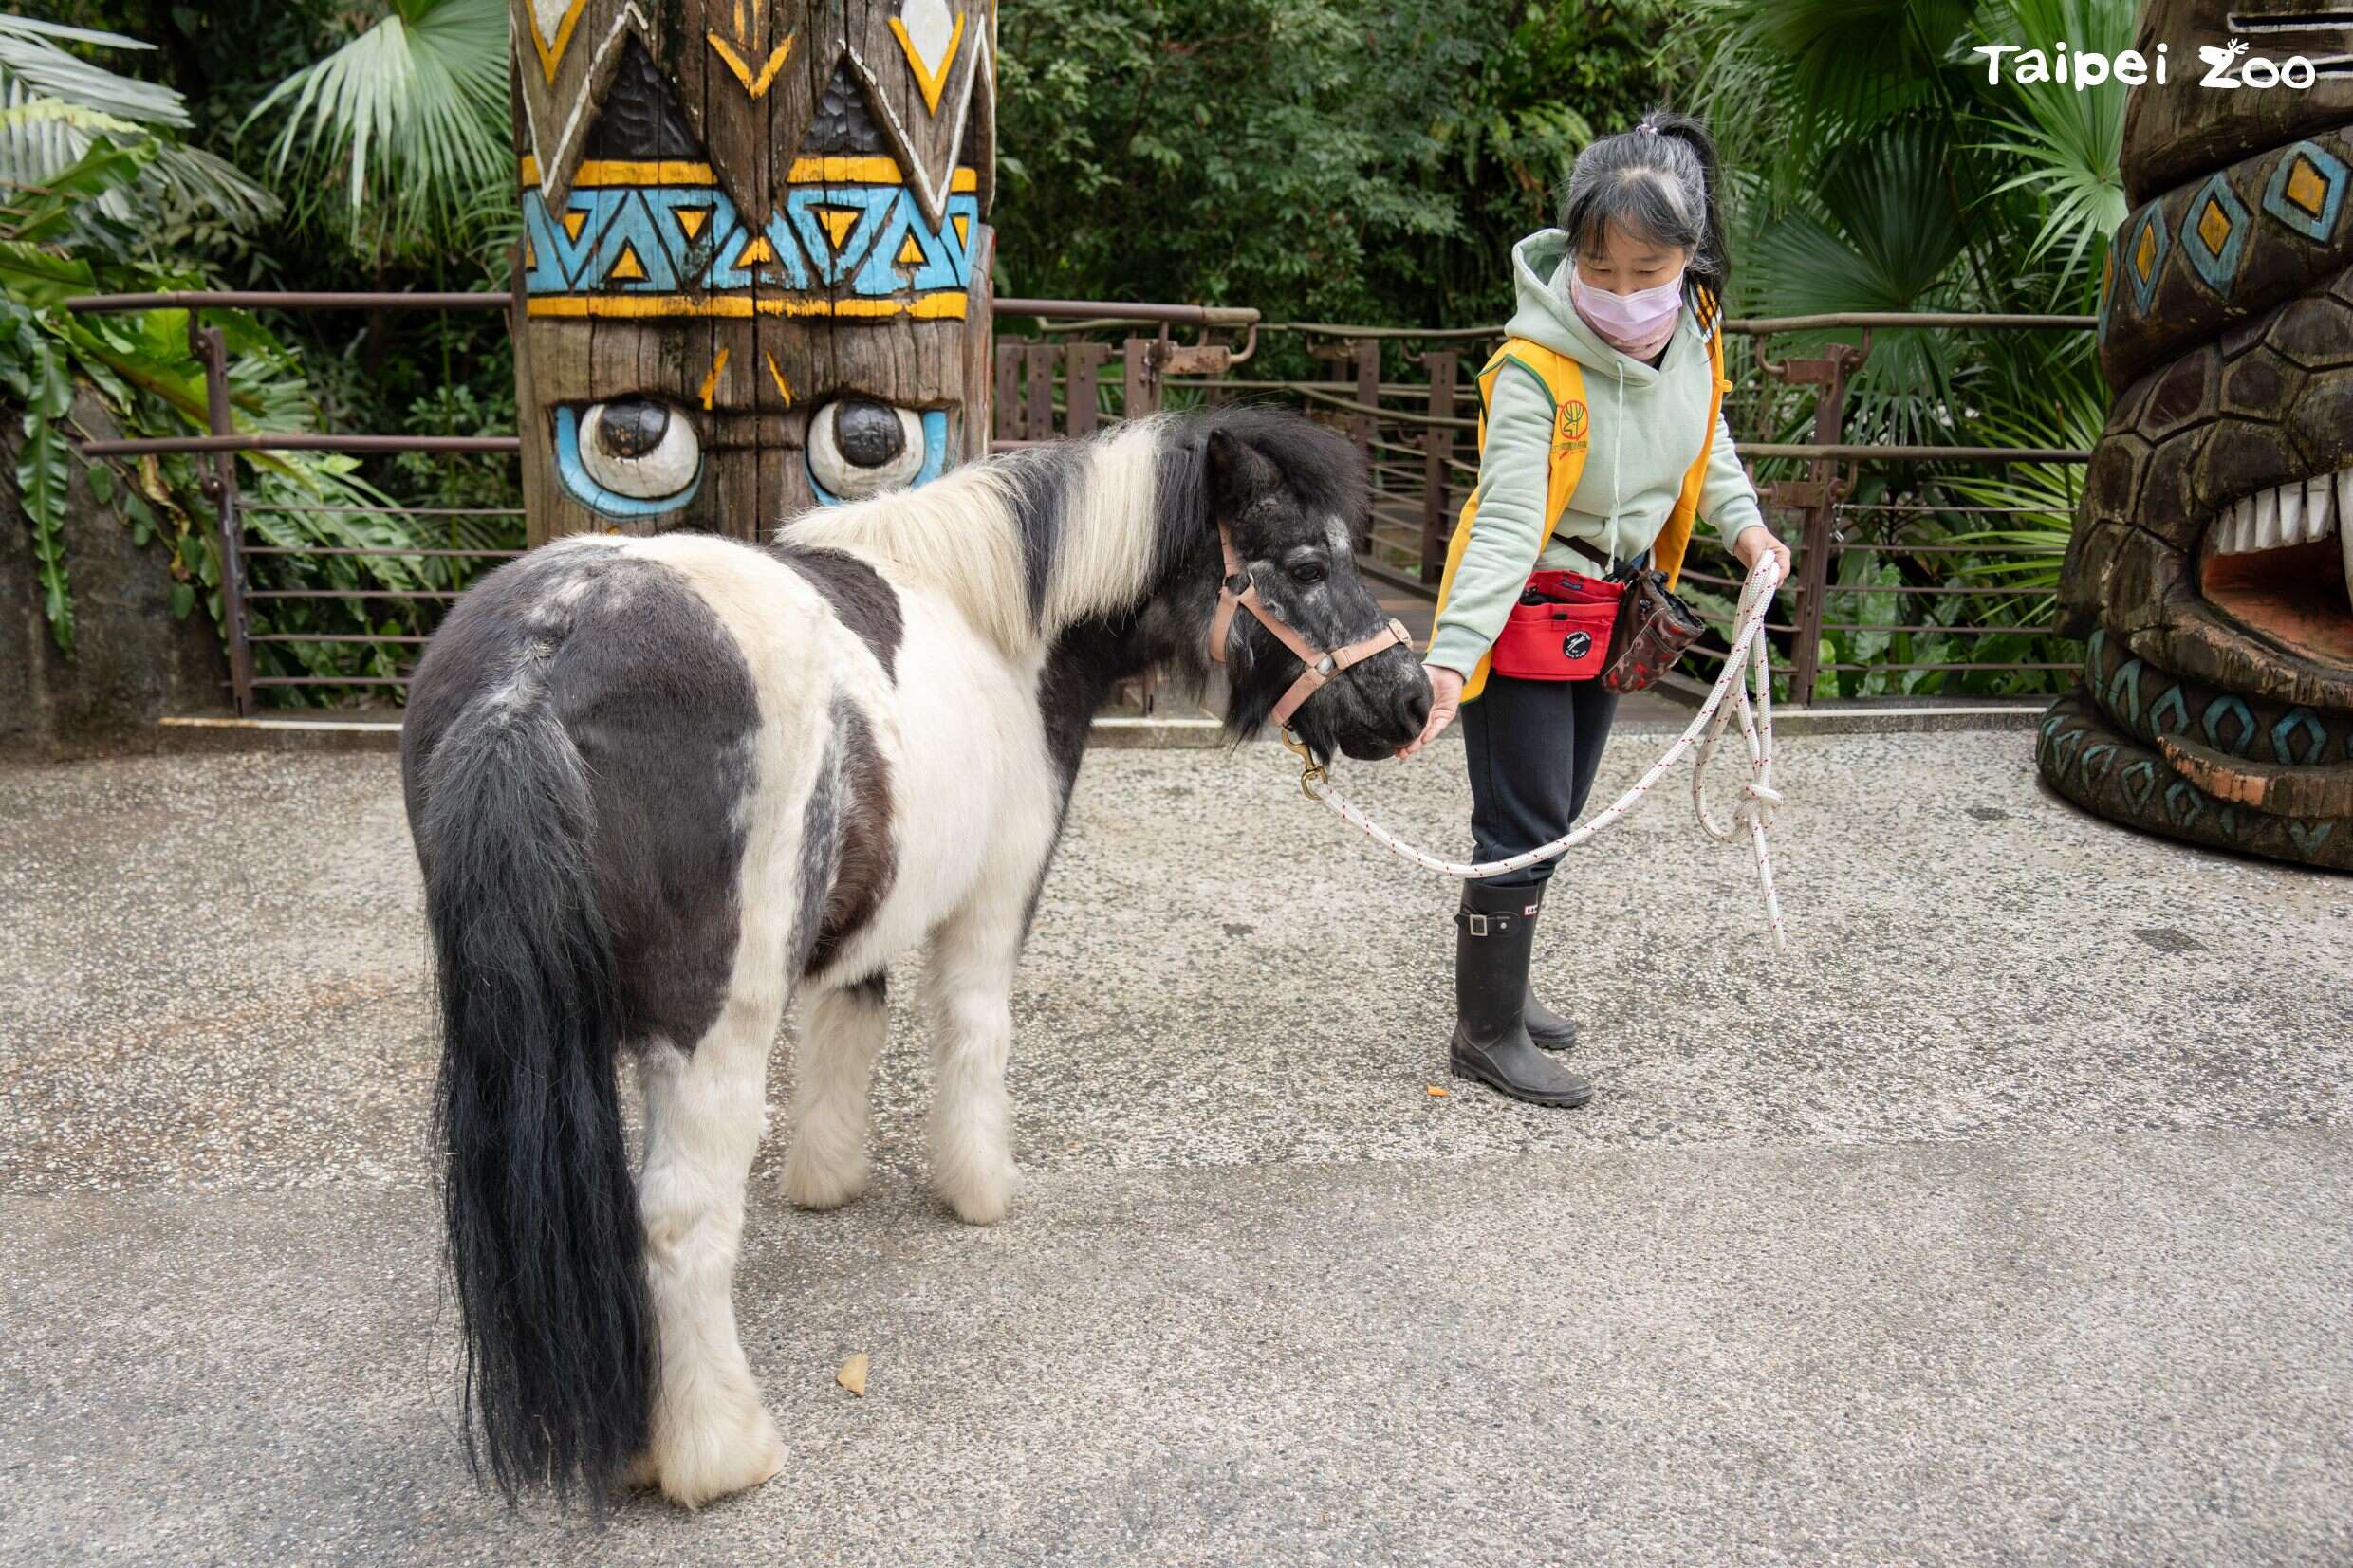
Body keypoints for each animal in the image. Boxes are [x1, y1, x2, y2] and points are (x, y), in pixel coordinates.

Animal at [398, 406, 1430, 1511]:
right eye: (1309, 563)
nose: (1414, 701)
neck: (995, 623)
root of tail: (538, 663)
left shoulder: (868, 923)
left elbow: (847, 1031)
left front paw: (828, 1179)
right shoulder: (994, 902)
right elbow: (974, 1036)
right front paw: (980, 1187)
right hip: (712, 1027)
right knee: (677, 1220)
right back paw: (717, 1450)